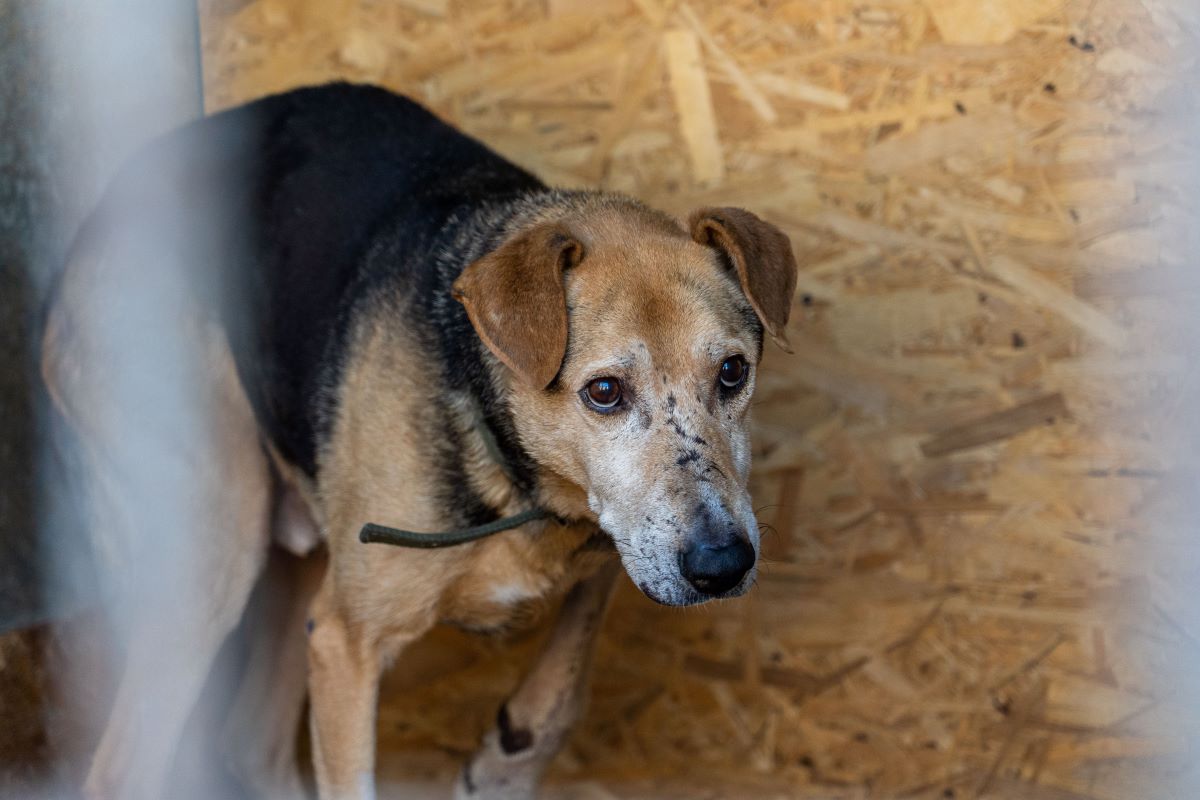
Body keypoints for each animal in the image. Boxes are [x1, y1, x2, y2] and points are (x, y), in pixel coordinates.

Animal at [39, 84, 796, 796]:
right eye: (604, 392)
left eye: (733, 372)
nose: (723, 565)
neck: (513, 481)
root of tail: (92, 227)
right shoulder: (345, 643)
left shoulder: (617, 545)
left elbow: (566, 680)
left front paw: (505, 760)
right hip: (215, 536)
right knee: (124, 769)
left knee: (248, 745)